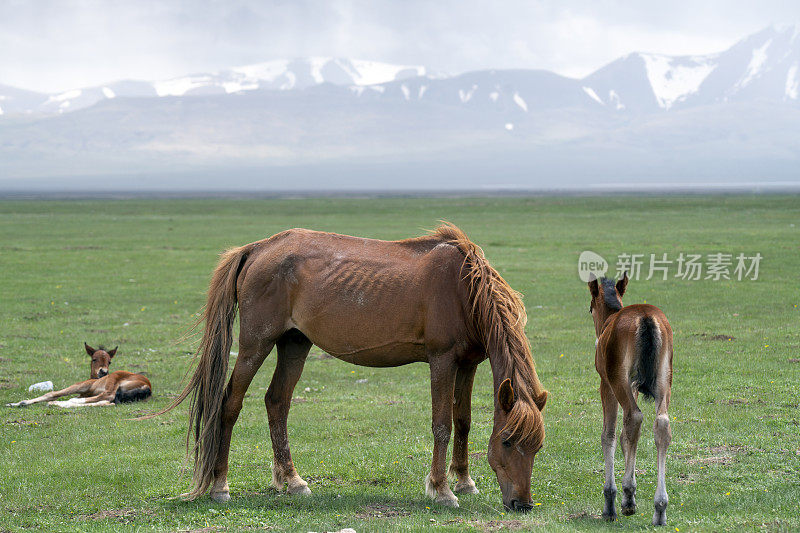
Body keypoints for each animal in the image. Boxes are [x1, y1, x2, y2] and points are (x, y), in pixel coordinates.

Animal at [5, 340, 152, 408]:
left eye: (109, 361)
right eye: (94, 359)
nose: (103, 372)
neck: (93, 379)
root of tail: (148, 387)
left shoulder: (81, 386)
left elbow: (51, 394)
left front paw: (18, 403)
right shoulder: (85, 392)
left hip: (114, 382)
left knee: (106, 396)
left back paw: (57, 403)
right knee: (105, 402)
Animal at [153, 222, 548, 510]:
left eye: (537, 445)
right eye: (508, 441)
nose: (522, 503)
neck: (464, 288)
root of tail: (257, 248)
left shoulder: (468, 364)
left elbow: (463, 422)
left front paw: (464, 482)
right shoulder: (442, 361)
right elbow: (442, 425)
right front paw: (442, 490)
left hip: (294, 344)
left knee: (277, 402)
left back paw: (291, 481)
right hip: (255, 345)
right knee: (229, 405)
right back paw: (220, 485)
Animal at [588, 272, 676, 524]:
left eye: (590, 307)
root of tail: (646, 317)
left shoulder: (606, 383)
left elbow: (609, 434)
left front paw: (611, 500)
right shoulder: (634, 384)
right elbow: (625, 436)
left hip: (618, 379)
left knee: (634, 417)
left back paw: (626, 497)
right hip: (664, 378)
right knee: (660, 423)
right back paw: (660, 507)